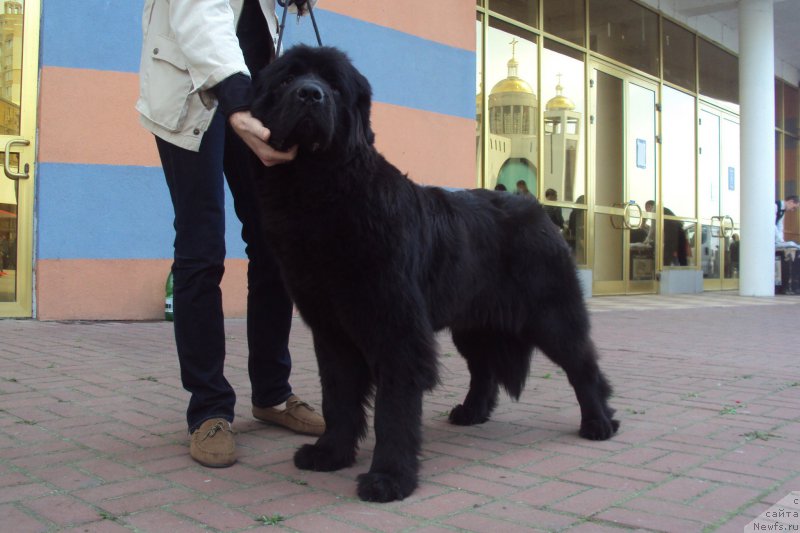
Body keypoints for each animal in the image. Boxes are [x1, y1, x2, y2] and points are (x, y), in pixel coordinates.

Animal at [250, 44, 620, 498]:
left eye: (334, 86)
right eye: (287, 79)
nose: (310, 94)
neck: (319, 192)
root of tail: (536, 209)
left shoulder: (398, 327)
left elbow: (393, 408)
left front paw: (389, 477)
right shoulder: (331, 329)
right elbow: (337, 395)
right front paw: (329, 453)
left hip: (550, 314)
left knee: (583, 364)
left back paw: (598, 422)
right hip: (474, 324)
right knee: (484, 370)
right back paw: (471, 412)